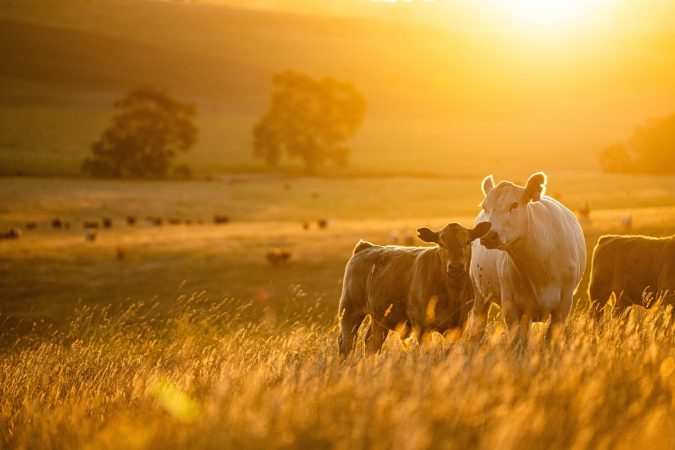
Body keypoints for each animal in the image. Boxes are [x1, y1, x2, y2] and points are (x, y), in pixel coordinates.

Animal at [338, 221, 492, 356]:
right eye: (441, 243)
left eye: (468, 241)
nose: (456, 266)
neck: (452, 292)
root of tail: (366, 247)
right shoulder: (421, 325)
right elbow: (427, 352)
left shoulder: (458, 325)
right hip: (350, 310)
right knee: (346, 342)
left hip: (379, 316)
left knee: (373, 342)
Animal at [469, 172, 586, 345]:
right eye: (485, 206)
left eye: (514, 205)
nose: (489, 235)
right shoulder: (510, 303)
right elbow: (516, 339)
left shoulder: (564, 304)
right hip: (479, 293)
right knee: (478, 325)